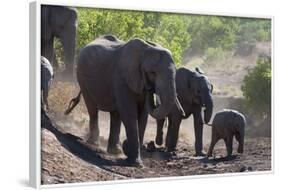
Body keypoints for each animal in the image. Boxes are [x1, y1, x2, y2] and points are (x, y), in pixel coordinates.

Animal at [65, 35, 185, 166]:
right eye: (152, 72)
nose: (150, 89)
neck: (145, 50)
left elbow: (143, 116)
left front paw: (130, 154)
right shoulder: (122, 78)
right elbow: (129, 113)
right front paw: (136, 163)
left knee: (115, 114)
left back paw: (115, 151)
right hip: (82, 79)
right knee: (93, 109)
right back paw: (94, 144)